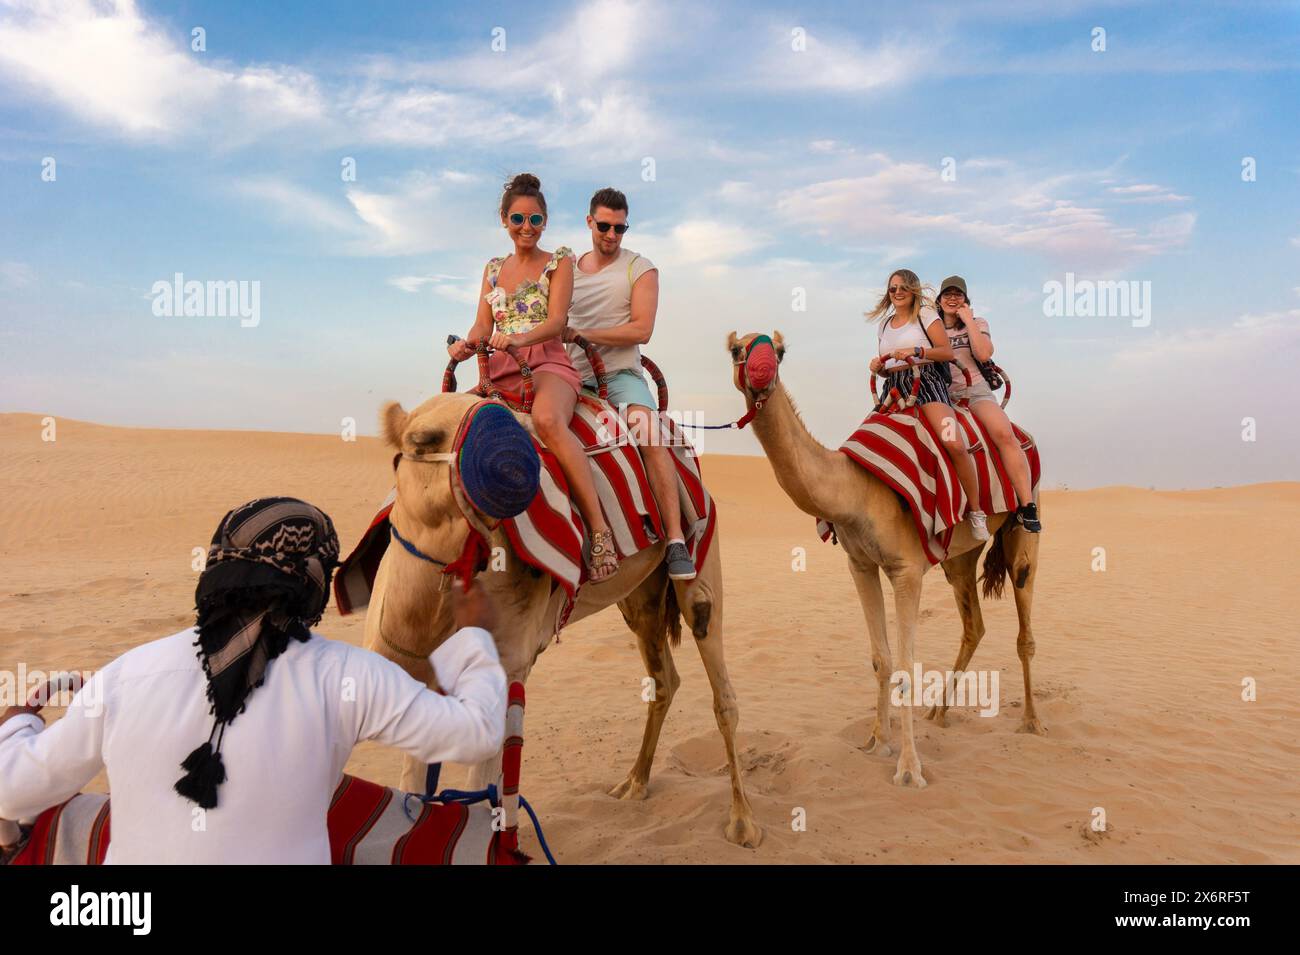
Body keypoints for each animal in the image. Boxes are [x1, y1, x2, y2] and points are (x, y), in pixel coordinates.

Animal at [358, 392, 759, 847]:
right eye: (423, 440)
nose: (511, 459)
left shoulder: (509, 666)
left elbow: (484, 788)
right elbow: (414, 782)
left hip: (699, 551)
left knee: (718, 680)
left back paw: (742, 821)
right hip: (640, 597)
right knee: (663, 680)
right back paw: (634, 783)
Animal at [733, 332, 1045, 789]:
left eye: (779, 352)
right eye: (735, 350)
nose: (760, 372)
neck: (855, 489)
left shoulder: (906, 570)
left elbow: (905, 664)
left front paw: (909, 768)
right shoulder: (860, 564)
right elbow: (880, 659)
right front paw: (877, 742)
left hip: (1025, 520)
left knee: (1025, 625)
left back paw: (1032, 721)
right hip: (959, 557)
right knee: (974, 624)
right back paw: (939, 713)